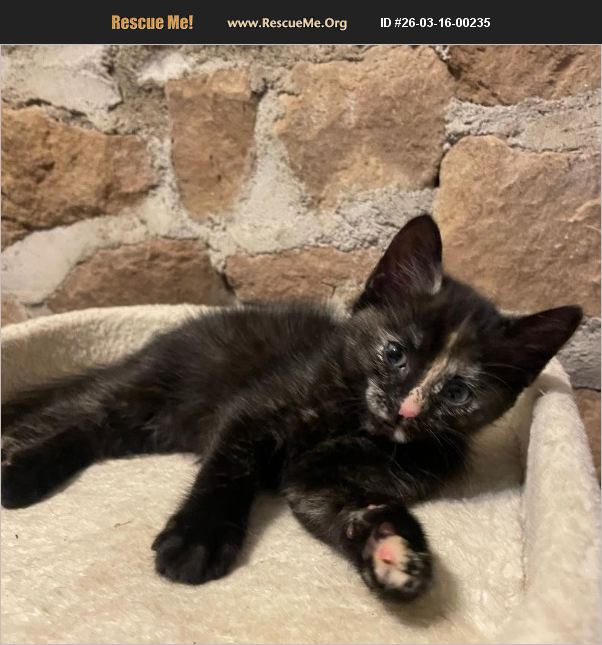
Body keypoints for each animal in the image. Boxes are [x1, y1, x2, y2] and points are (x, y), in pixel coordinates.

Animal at [1, 215, 582, 601]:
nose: (407, 410)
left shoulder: (322, 481)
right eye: (395, 353)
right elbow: (228, 469)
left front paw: (391, 549)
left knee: (95, 431)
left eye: (459, 392)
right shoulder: (254, 411)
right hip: (153, 382)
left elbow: (341, 508)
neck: (355, 424)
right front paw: (198, 538)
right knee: (79, 414)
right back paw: (20, 467)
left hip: (150, 423)